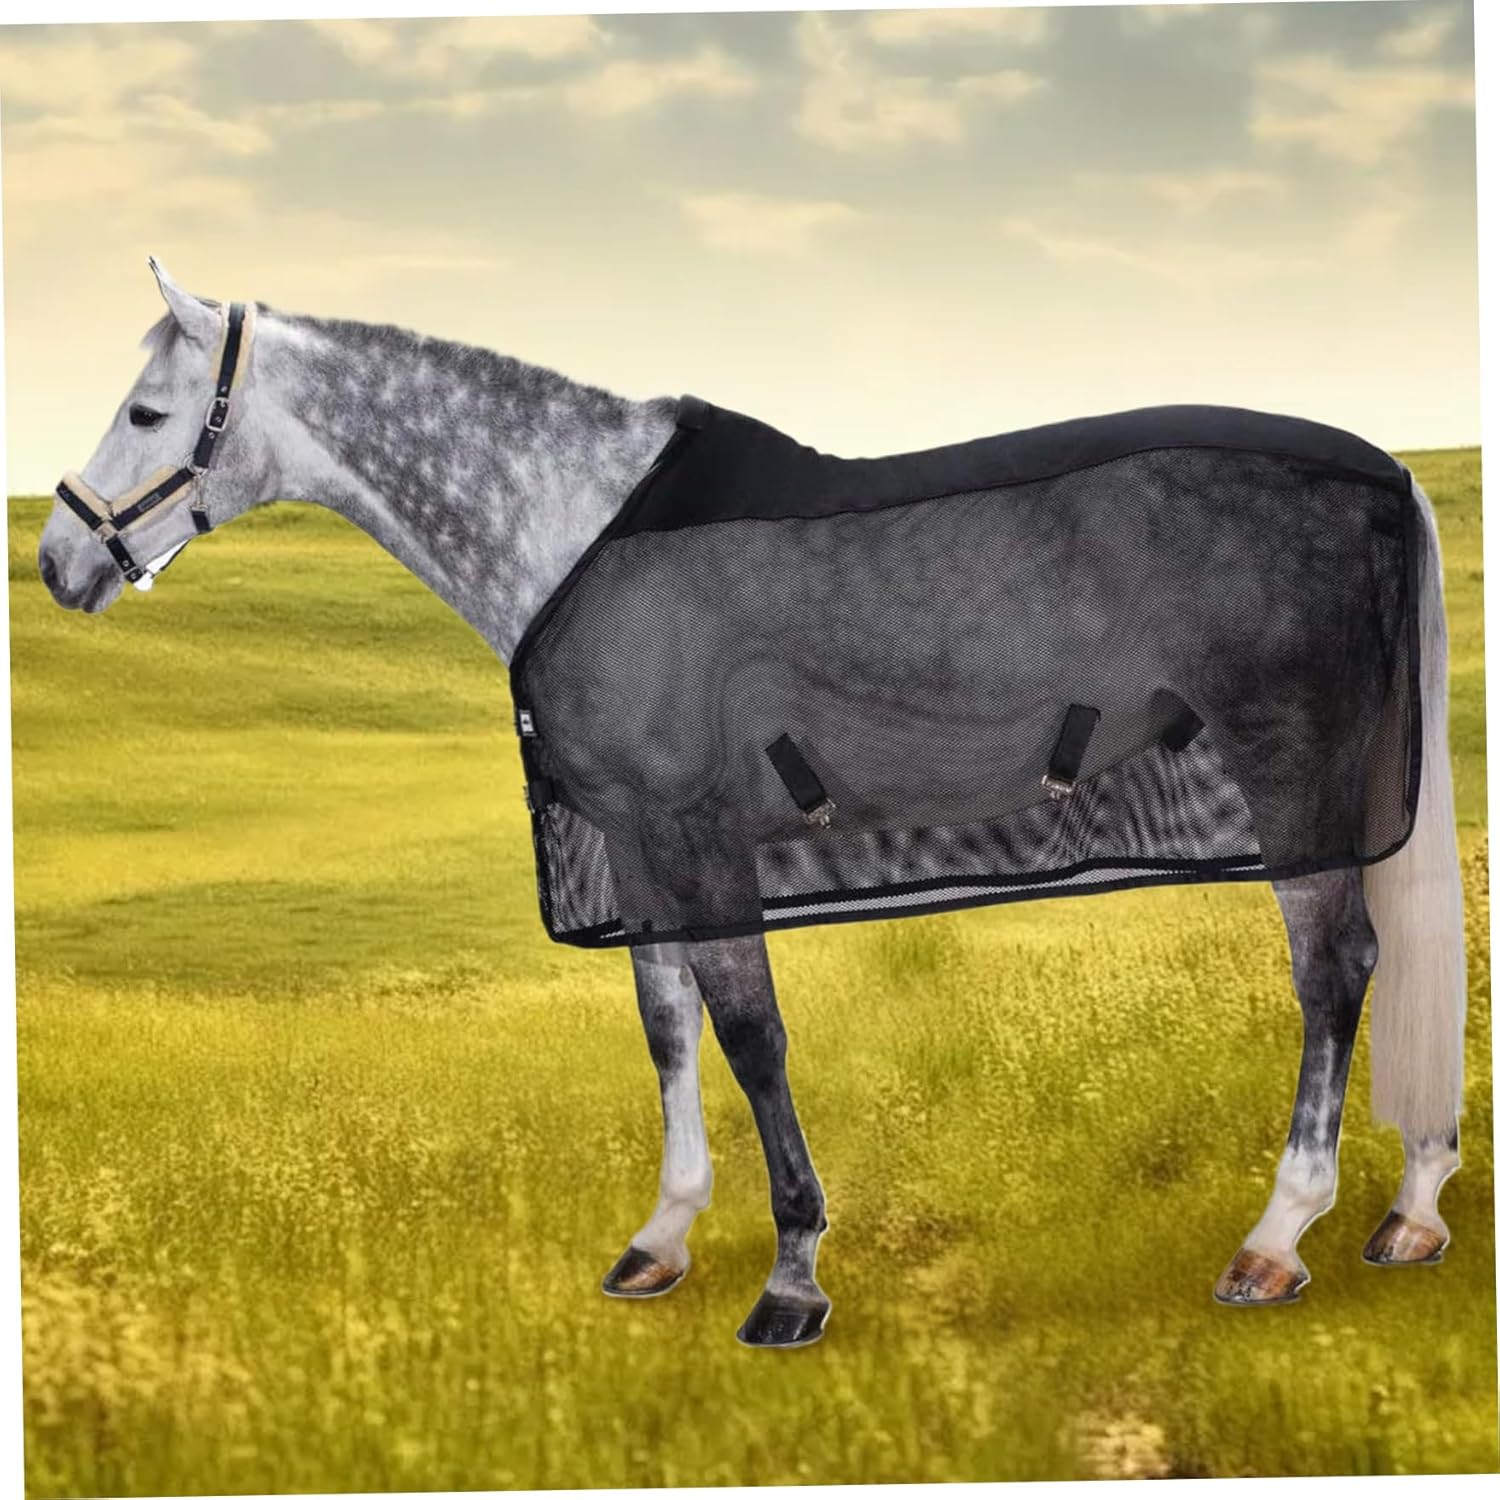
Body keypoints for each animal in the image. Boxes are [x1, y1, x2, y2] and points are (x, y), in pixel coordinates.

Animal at [37, 259, 1466, 1348]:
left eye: (150, 412)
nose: (59, 560)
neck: (577, 532)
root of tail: (1383, 473)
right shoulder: (636, 846)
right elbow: (668, 1031)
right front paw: (663, 1237)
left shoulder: (695, 833)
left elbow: (750, 1037)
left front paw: (792, 1279)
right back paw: (1410, 1212)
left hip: (1292, 768)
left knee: (1337, 968)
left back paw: (1278, 1237)